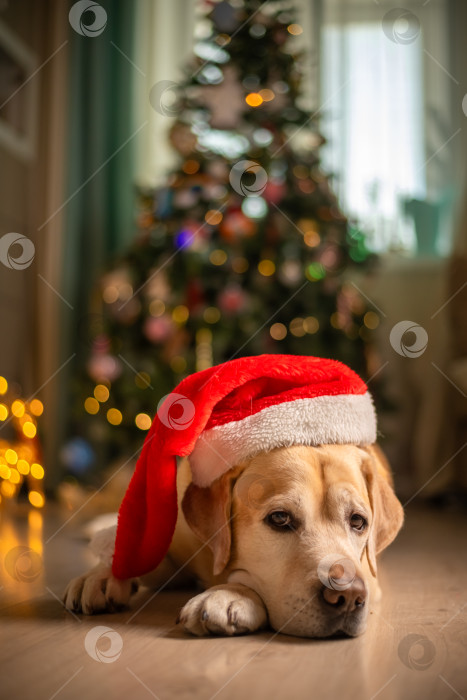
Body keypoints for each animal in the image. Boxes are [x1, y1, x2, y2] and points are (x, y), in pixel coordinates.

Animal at [64, 442, 404, 640]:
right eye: (280, 519)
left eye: (358, 522)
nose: (348, 596)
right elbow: (139, 553)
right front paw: (101, 576)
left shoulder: (369, 575)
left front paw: (230, 595)